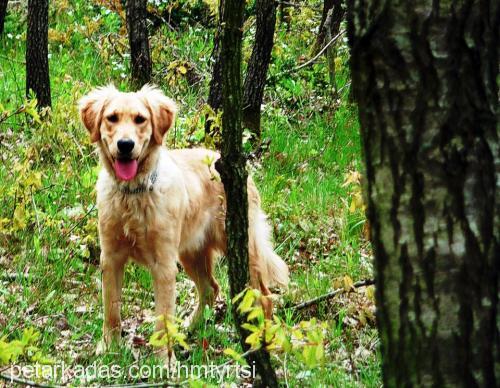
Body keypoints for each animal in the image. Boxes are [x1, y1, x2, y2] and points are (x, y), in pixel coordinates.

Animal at [78, 84, 290, 364]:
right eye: (112, 118)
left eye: (140, 119)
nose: (125, 145)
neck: (134, 194)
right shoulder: (111, 258)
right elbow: (111, 310)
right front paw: (109, 348)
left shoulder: (164, 265)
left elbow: (163, 319)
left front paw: (163, 362)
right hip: (191, 252)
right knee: (210, 289)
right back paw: (190, 328)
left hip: (244, 250)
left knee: (264, 296)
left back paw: (263, 342)